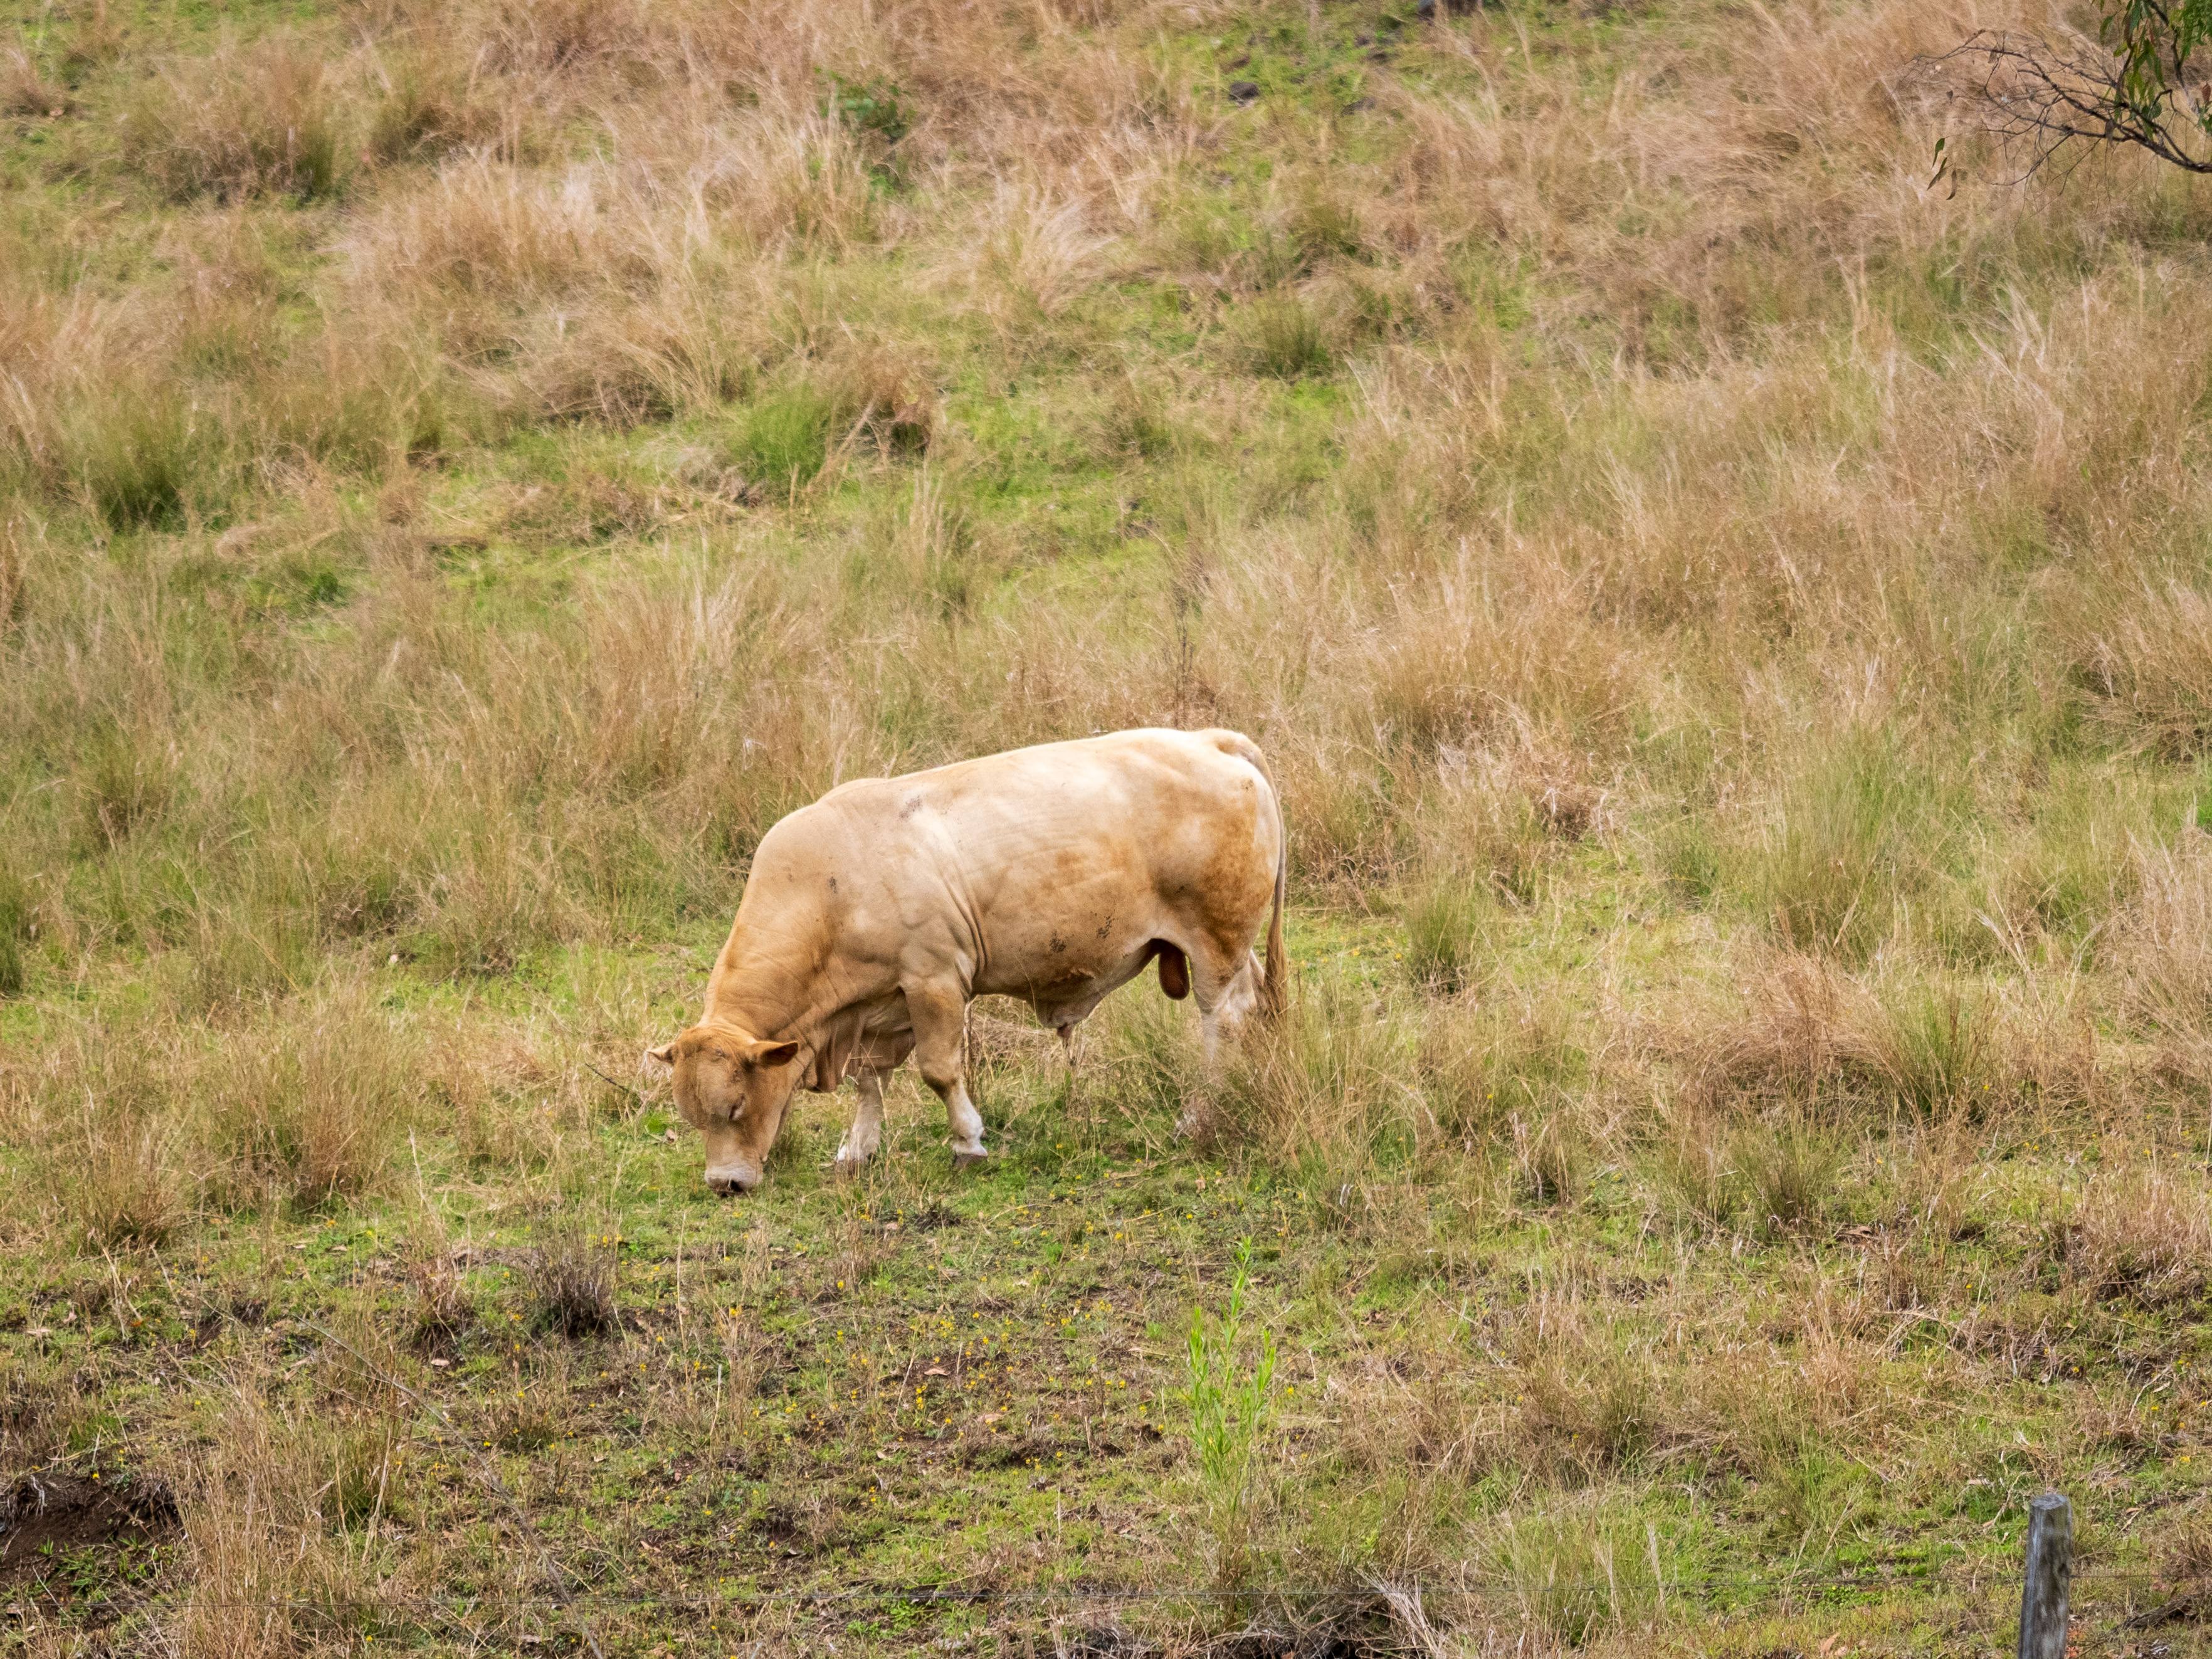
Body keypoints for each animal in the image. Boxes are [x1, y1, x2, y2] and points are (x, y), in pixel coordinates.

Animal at [647, 727, 1288, 1194]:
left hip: (1214, 946)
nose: (725, 1183)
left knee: (1221, 1021)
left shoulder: (934, 980)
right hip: (1234, 949)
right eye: (690, 1116)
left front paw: (967, 1142)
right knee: (1256, 1003)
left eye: (735, 1107)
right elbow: (869, 1081)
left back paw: (1201, 1114)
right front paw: (858, 1148)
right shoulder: (875, 1009)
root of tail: (1209, 739)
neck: (830, 886)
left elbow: (939, 1070)